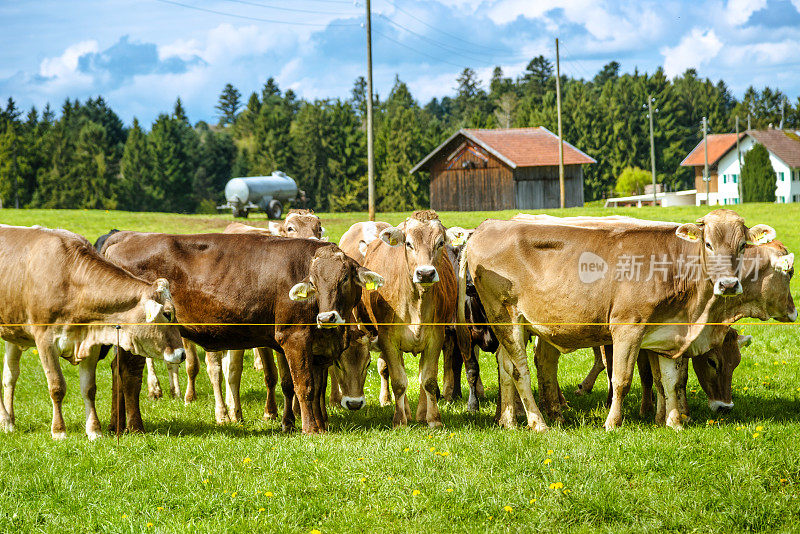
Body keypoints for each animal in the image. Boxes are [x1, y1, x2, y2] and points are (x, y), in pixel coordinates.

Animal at [0, 226, 183, 440]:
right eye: (167, 314)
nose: (182, 354)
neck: (70, 280)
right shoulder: (45, 341)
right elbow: (57, 386)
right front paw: (59, 431)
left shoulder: (91, 342)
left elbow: (89, 388)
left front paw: (94, 430)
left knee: (10, 376)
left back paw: (9, 422)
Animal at [101, 234, 382, 436]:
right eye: (313, 282)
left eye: (344, 278)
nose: (327, 317)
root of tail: (125, 238)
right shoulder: (294, 338)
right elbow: (305, 385)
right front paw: (311, 429)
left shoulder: (320, 348)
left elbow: (318, 387)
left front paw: (321, 425)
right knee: (130, 375)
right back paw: (135, 426)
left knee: (117, 370)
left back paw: (117, 424)